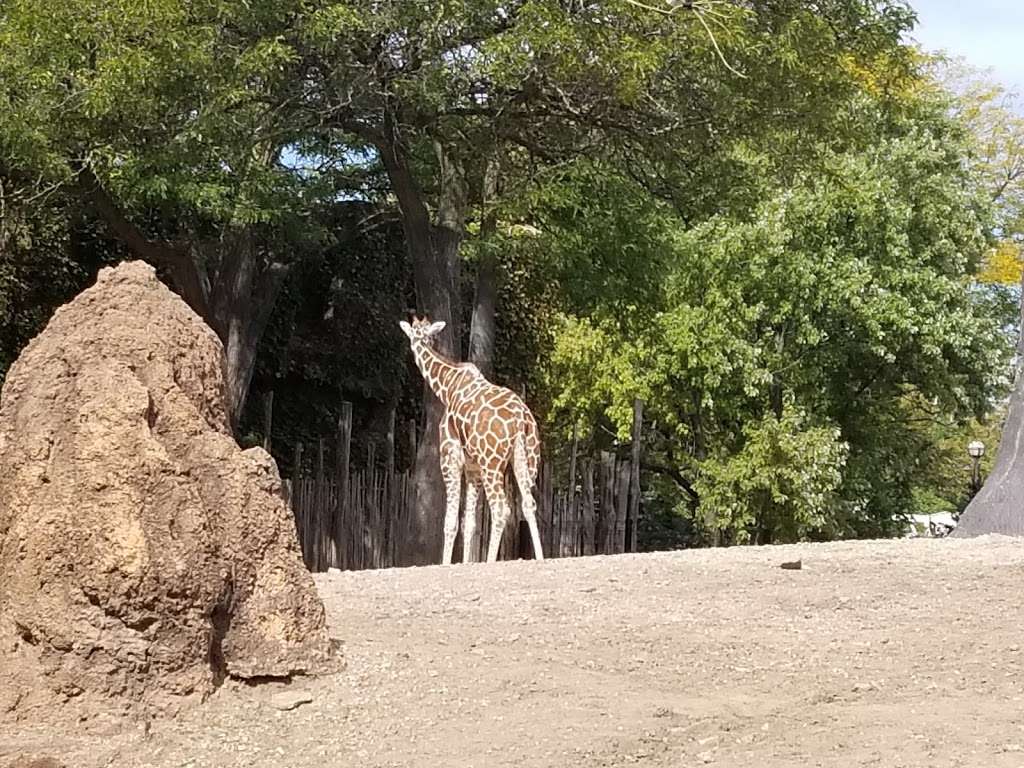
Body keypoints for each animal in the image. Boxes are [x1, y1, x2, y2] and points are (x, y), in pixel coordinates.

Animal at [397, 313, 544, 565]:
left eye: (416, 332)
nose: (415, 349)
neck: (447, 387)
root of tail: (520, 420)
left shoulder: (450, 460)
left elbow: (450, 522)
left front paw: (446, 563)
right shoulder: (473, 468)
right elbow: (470, 523)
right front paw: (466, 562)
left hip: (492, 464)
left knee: (501, 508)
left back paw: (490, 562)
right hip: (524, 459)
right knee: (528, 504)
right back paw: (542, 558)